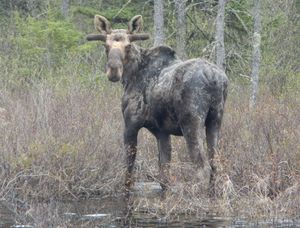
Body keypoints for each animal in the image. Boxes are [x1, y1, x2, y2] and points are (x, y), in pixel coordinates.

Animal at [88, 15, 229, 195]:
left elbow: (128, 173)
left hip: (191, 123)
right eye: (106, 46)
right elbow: (164, 176)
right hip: (215, 120)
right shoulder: (162, 132)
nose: (113, 71)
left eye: (128, 46)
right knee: (216, 164)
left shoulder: (131, 124)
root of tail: (215, 78)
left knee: (202, 167)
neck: (131, 75)